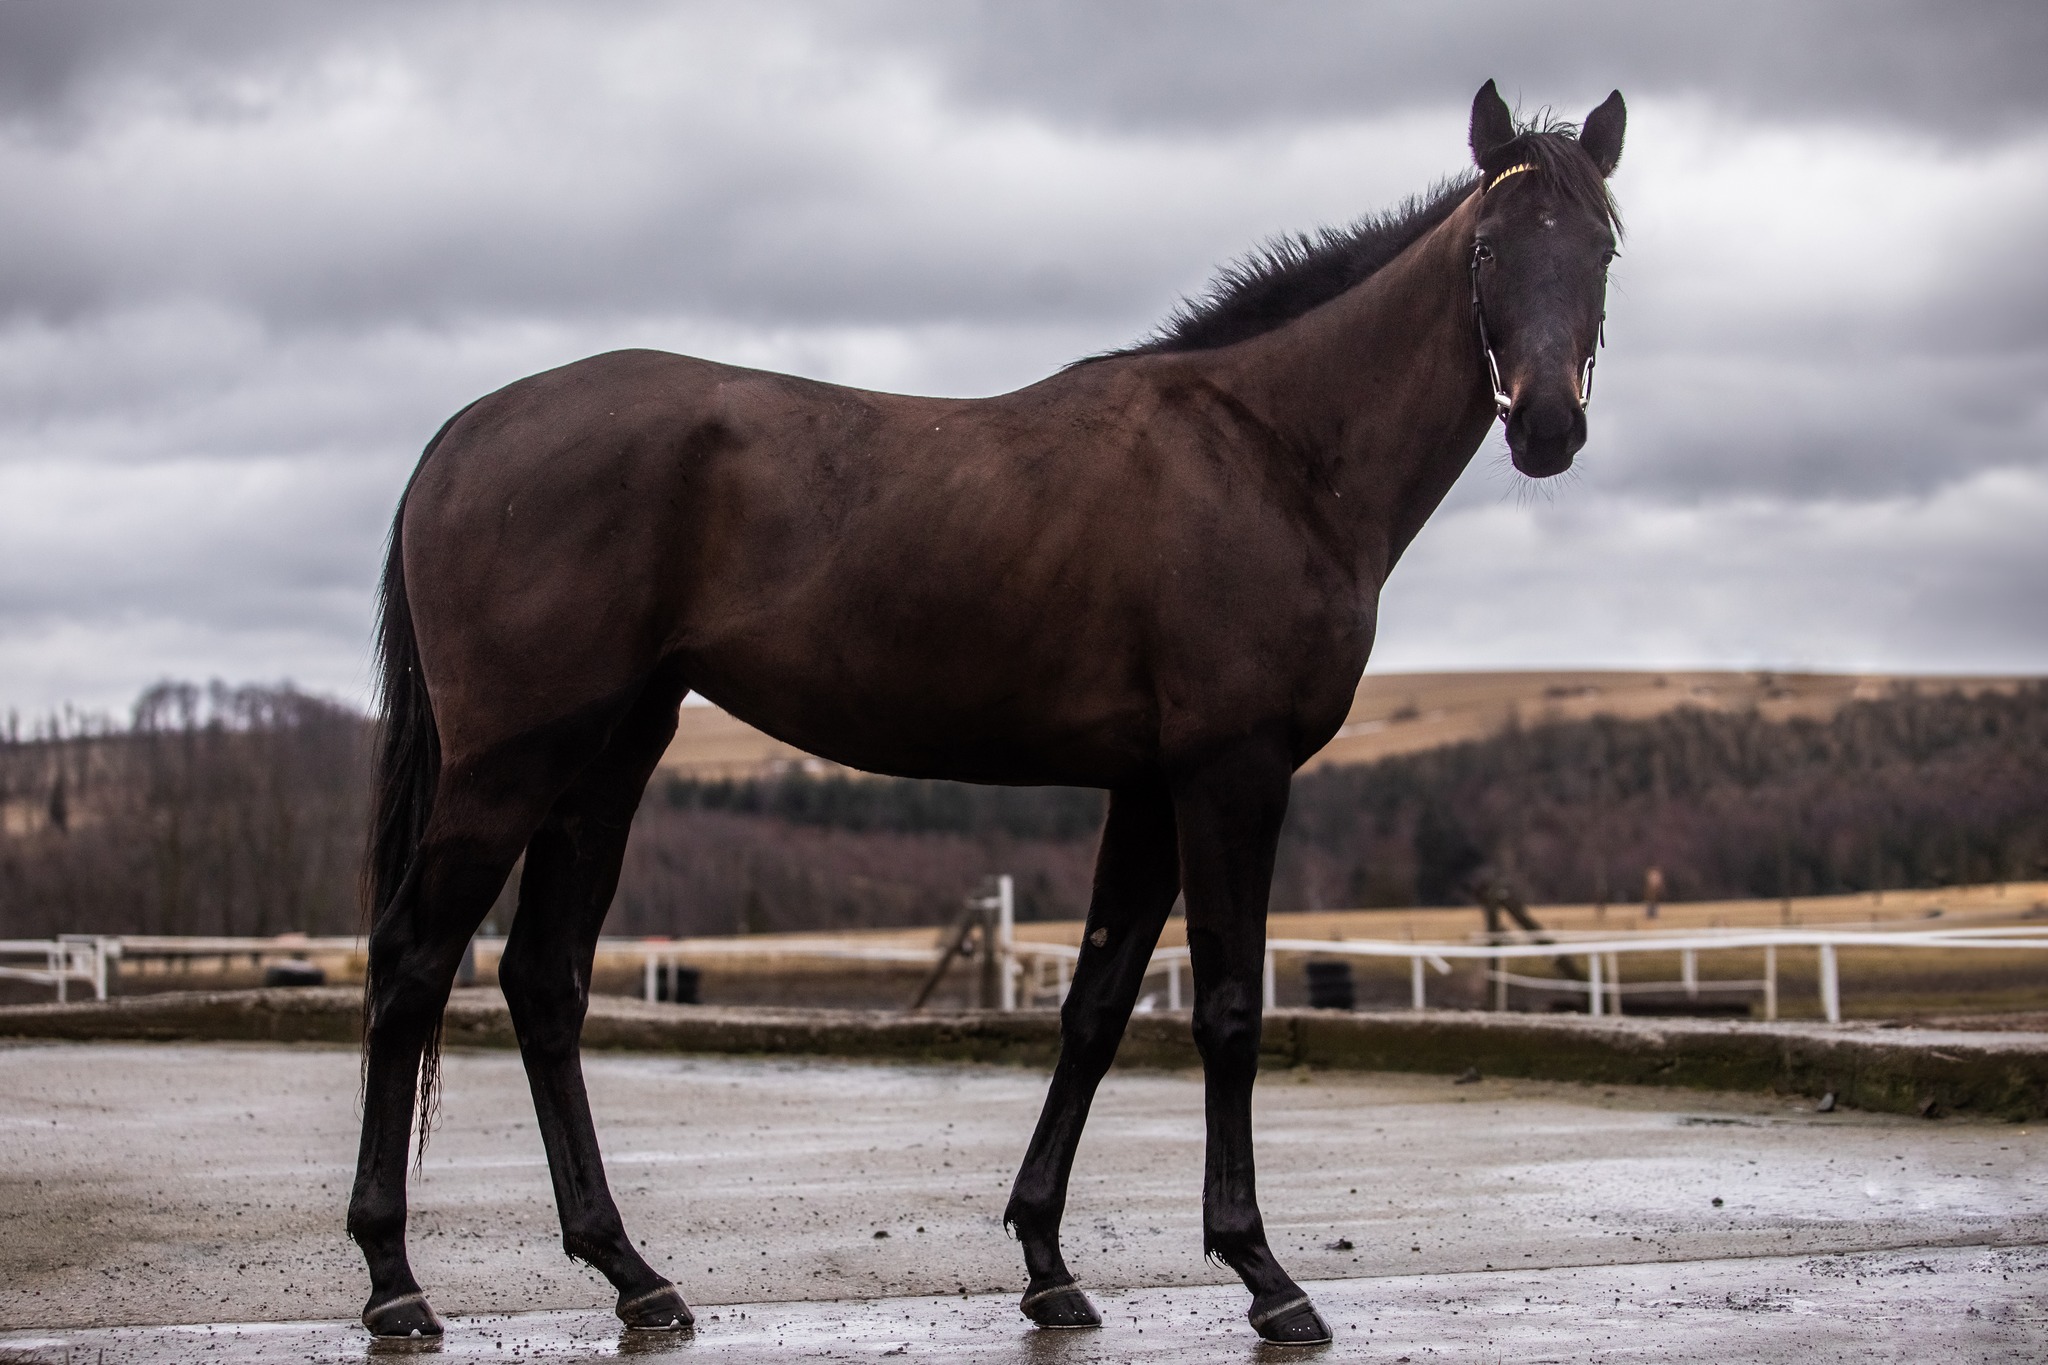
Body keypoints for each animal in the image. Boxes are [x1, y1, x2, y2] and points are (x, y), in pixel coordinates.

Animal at [352, 82, 1630, 1342]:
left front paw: (1046, 1262)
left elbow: (1097, 1007)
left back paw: (631, 1273)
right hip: (510, 765)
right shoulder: (1232, 774)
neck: (1269, 452)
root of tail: (465, 434)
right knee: (413, 962)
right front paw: (1262, 1273)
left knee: (542, 981)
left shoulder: (1148, 789)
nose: (1546, 427)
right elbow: (1224, 1009)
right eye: (1486, 249)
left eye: (1601, 249)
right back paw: (394, 1279)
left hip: (609, 756)